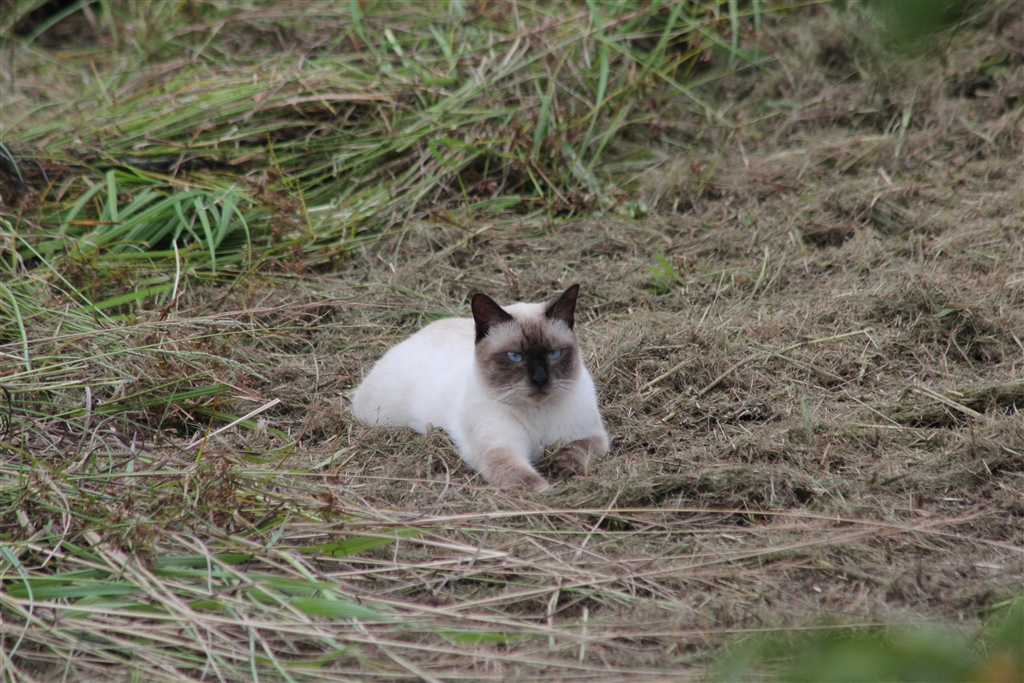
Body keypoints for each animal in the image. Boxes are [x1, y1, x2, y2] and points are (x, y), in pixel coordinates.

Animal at [352, 284, 608, 491]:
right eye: (514, 356)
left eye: (554, 353)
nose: (540, 380)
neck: (538, 412)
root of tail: (419, 332)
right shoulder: (501, 450)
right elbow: (527, 481)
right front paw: (548, 493)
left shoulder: (592, 436)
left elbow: (579, 450)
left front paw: (564, 468)